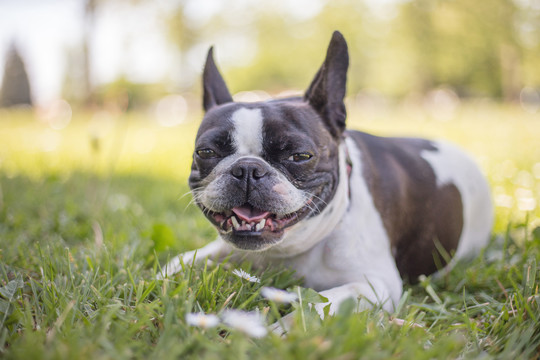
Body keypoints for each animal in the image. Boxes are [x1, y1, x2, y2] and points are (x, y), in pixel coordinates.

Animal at [161, 30, 494, 318]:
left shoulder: (374, 285)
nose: (247, 169)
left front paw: (280, 331)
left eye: (300, 156)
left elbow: (316, 305)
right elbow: (179, 261)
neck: (288, 249)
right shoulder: (218, 250)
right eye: (206, 152)